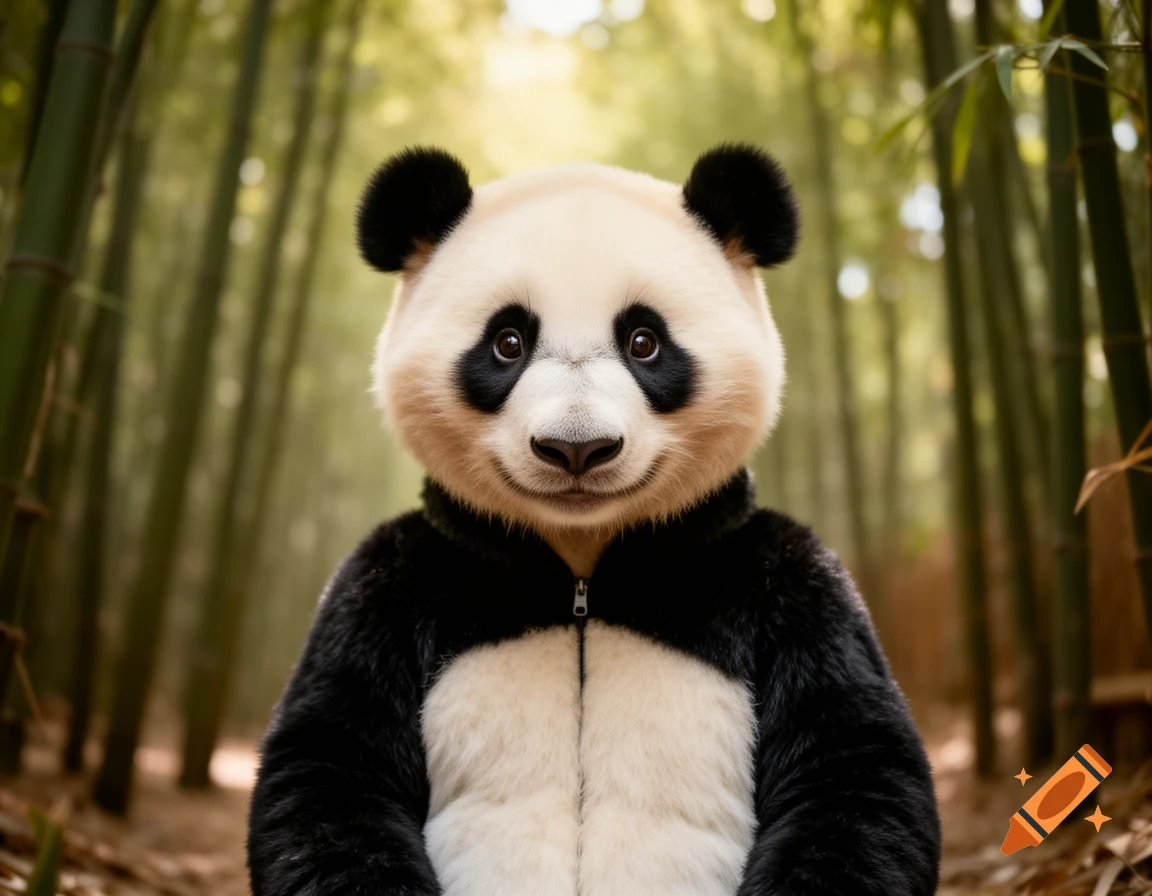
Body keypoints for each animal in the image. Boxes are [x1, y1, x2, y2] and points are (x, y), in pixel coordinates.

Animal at [247, 145, 941, 896]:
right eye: (508, 341)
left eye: (643, 341)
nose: (576, 447)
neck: (582, 559)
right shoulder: (380, 585)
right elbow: (332, 764)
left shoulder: (797, 585)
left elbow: (851, 764)